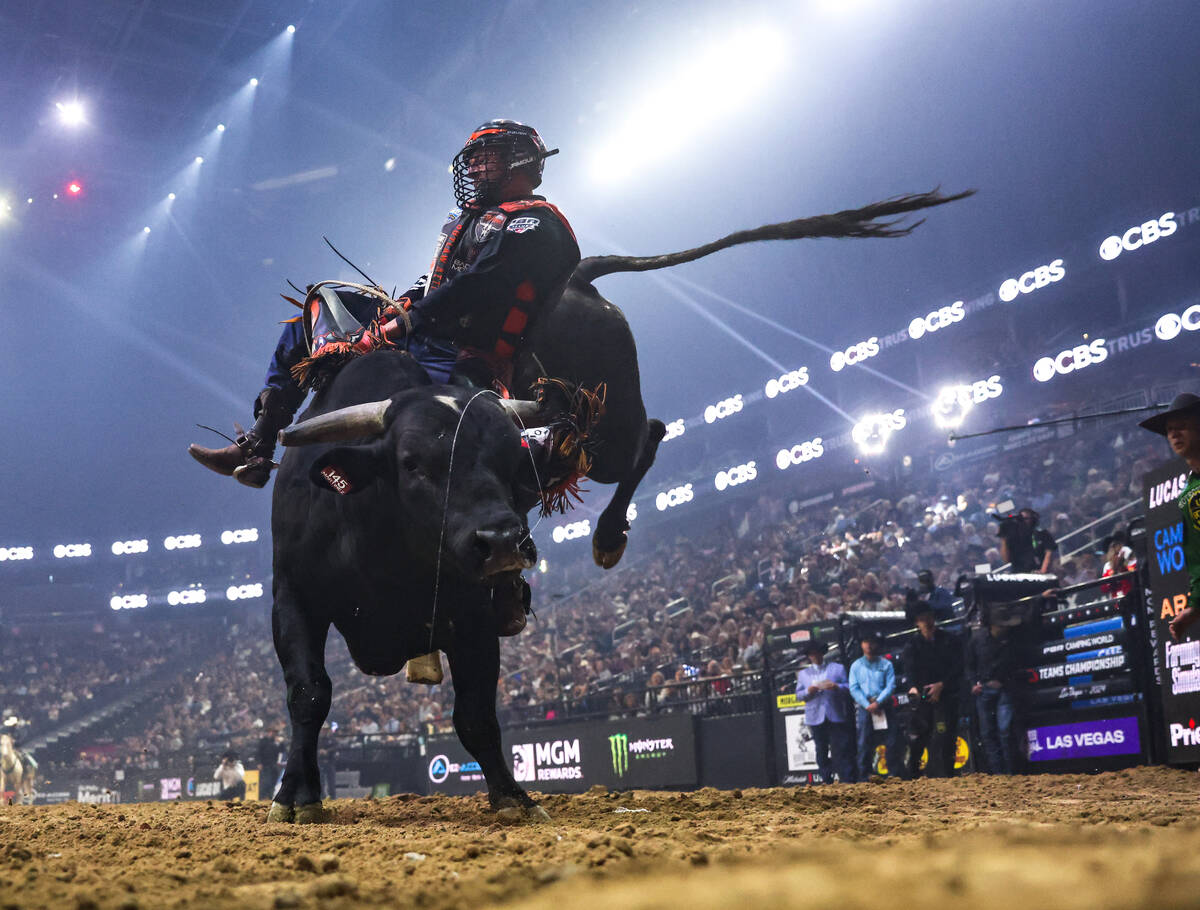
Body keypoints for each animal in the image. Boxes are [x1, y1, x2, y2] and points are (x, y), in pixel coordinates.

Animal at [267, 188, 969, 821]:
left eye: (515, 464)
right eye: (413, 462)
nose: (503, 544)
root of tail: (579, 278)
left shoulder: (473, 608)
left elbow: (475, 712)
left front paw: (511, 794)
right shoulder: (293, 595)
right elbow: (309, 694)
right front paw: (295, 796)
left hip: (606, 422)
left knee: (649, 433)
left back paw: (608, 536)